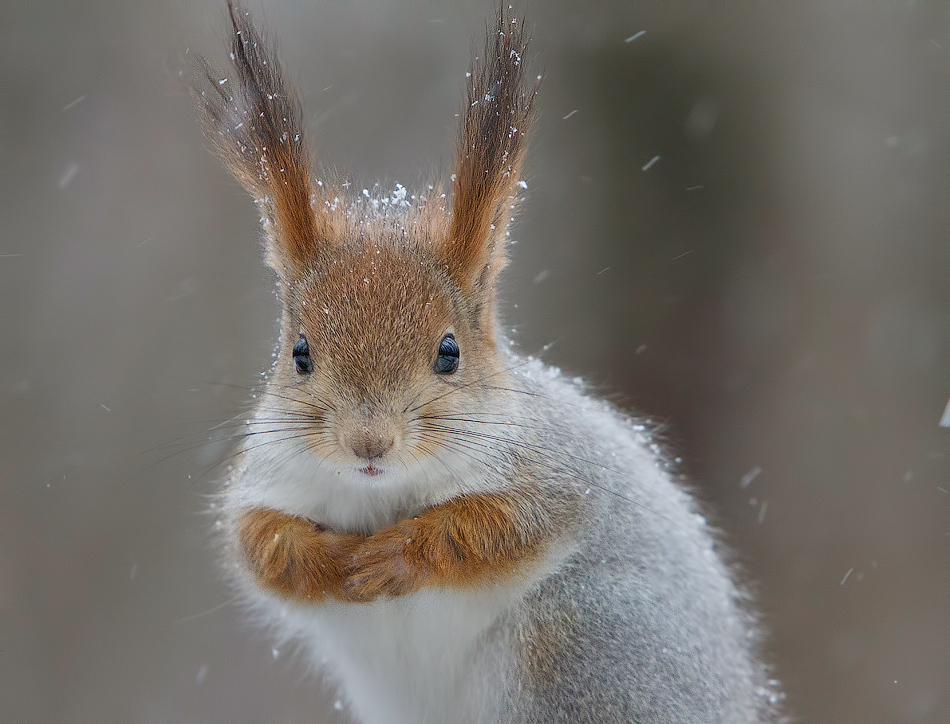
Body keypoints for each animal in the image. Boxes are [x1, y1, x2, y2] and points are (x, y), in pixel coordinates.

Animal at [195, 2, 788, 720]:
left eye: (450, 352)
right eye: (299, 354)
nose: (369, 443)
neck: (383, 494)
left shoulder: (555, 473)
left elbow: (500, 528)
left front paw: (399, 553)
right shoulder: (266, 479)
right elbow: (260, 545)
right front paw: (326, 563)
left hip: (585, 651)